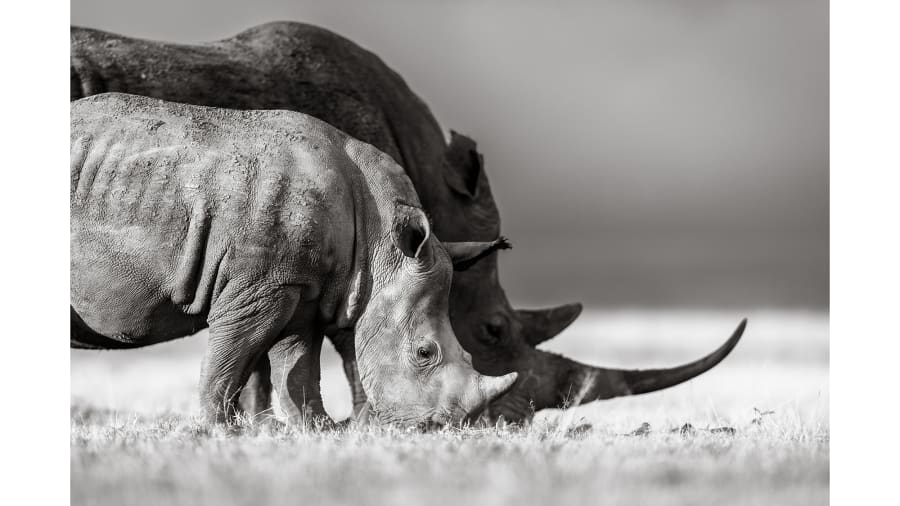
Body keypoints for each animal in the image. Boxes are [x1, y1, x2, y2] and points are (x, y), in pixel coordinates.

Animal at [70, 92, 518, 426]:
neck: (381, 243)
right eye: (425, 353)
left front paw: (317, 429)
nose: (440, 427)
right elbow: (230, 358)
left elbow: (298, 362)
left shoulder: (306, 286)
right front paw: (220, 431)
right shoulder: (260, 287)